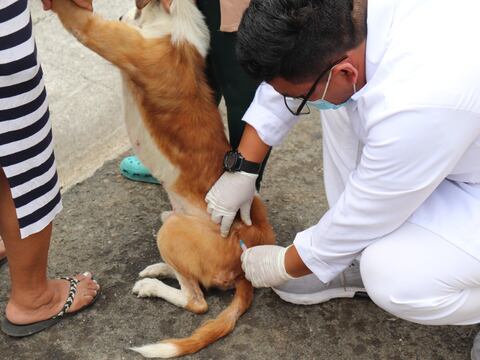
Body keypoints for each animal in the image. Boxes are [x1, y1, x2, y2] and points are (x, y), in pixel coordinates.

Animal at [50, 0, 276, 358]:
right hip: (170, 217)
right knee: (192, 277)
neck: (172, 16)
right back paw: (159, 268)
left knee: (196, 300)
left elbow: (75, 18)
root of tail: (245, 266)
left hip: (173, 232)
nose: (119, 16)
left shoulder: (98, 33)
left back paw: (152, 285)